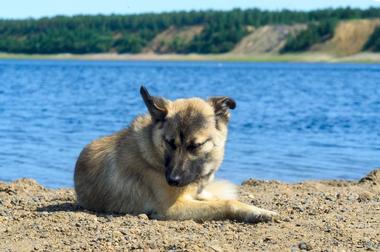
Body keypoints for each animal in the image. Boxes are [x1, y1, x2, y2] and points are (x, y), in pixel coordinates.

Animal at [73, 86, 276, 222]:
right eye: (170, 143)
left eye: (195, 146)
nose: (172, 180)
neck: (154, 152)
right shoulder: (172, 208)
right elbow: (226, 203)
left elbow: (223, 200)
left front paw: (258, 210)